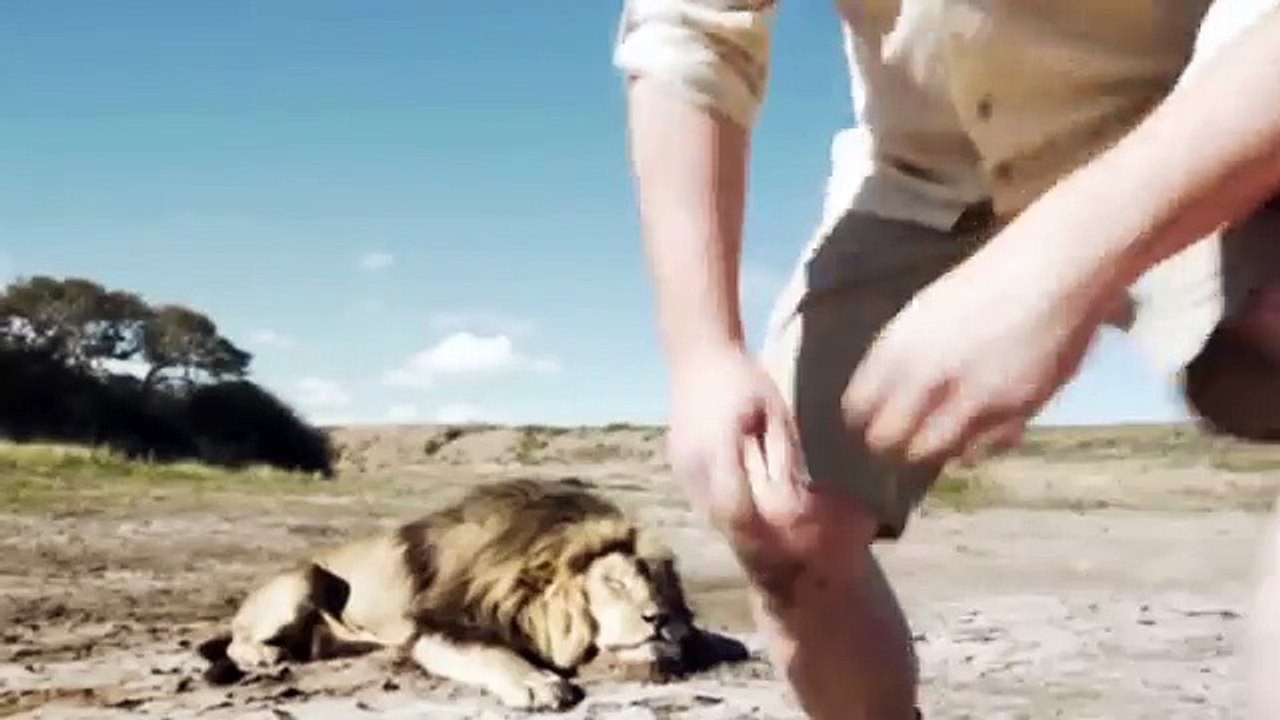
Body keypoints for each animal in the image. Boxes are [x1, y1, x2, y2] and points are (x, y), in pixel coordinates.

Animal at [195, 477, 713, 711]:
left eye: (657, 585)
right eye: (613, 584)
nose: (659, 619)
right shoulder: (436, 625)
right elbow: (491, 651)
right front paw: (538, 683)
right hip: (305, 576)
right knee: (237, 640)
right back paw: (264, 656)